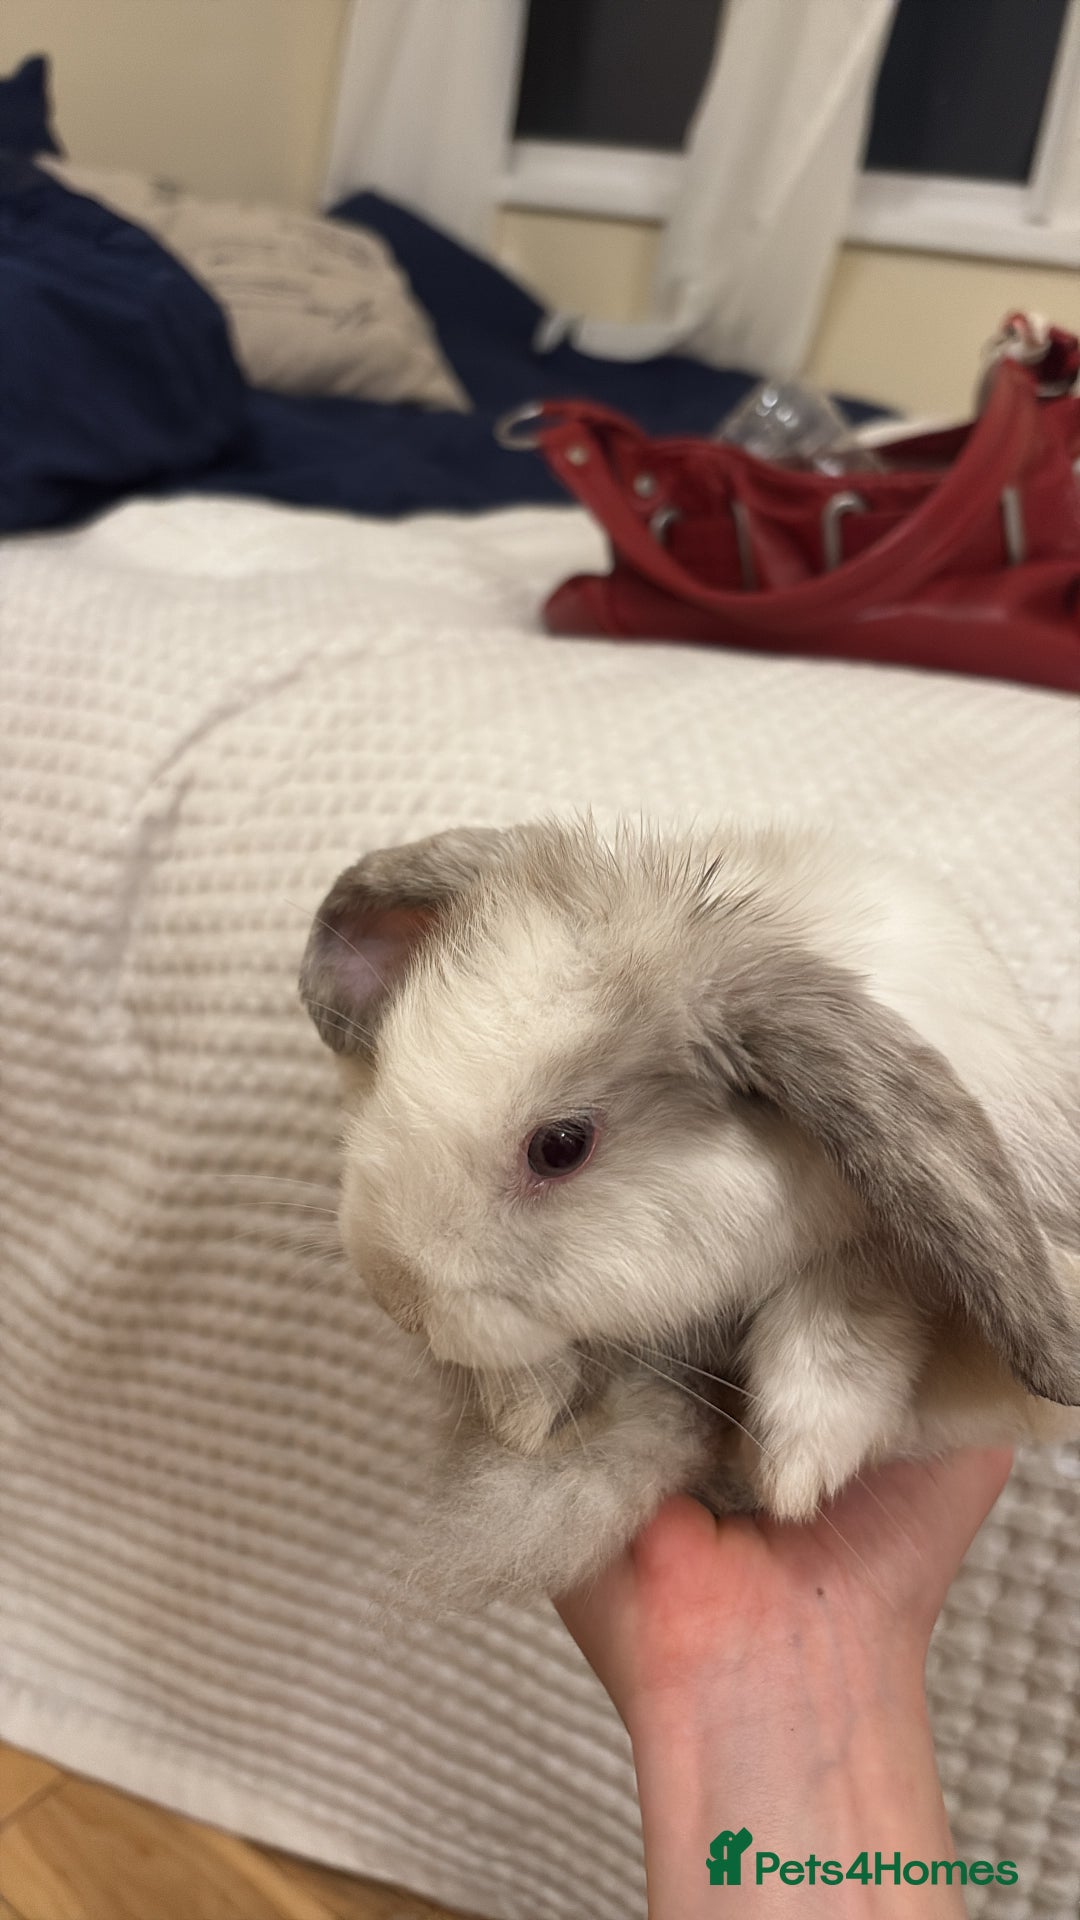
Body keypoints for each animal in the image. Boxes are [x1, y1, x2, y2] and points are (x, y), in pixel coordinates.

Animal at [299, 815, 1080, 1608]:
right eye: (392, 1066)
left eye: (560, 1147)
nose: (396, 1294)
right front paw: (525, 1409)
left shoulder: (874, 1263)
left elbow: (846, 1322)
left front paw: (791, 1469)